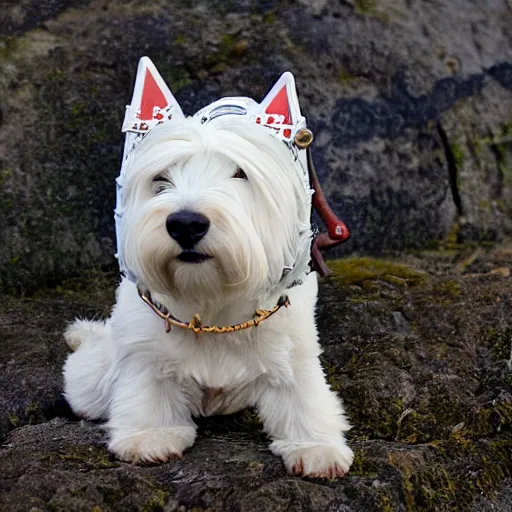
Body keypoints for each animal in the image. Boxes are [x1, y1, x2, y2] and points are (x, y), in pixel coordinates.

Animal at [63, 58, 352, 478]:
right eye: (161, 177)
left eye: (240, 173)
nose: (185, 224)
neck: (212, 300)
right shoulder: (145, 354)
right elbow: (148, 386)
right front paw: (150, 435)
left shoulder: (294, 346)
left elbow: (303, 393)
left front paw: (315, 445)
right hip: (93, 375)